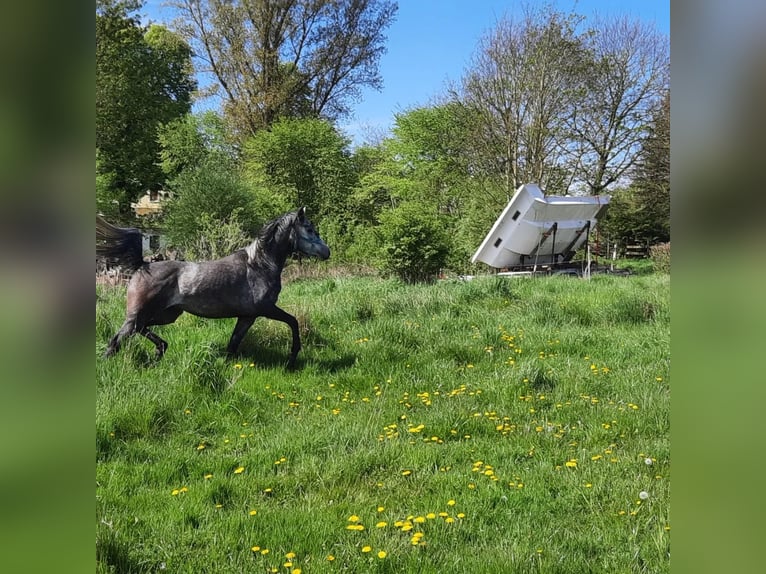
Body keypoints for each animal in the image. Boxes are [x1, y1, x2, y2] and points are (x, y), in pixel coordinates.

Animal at [97, 207, 330, 368]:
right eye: (310, 229)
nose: (327, 252)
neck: (259, 264)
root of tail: (142, 265)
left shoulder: (247, 316)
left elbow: (233, 344)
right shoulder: (266, 309)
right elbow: (293, 321)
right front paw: (292, 357)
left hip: (167, 315)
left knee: (141, 330)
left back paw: (160, 350)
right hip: (138, 316)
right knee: (116, 341)